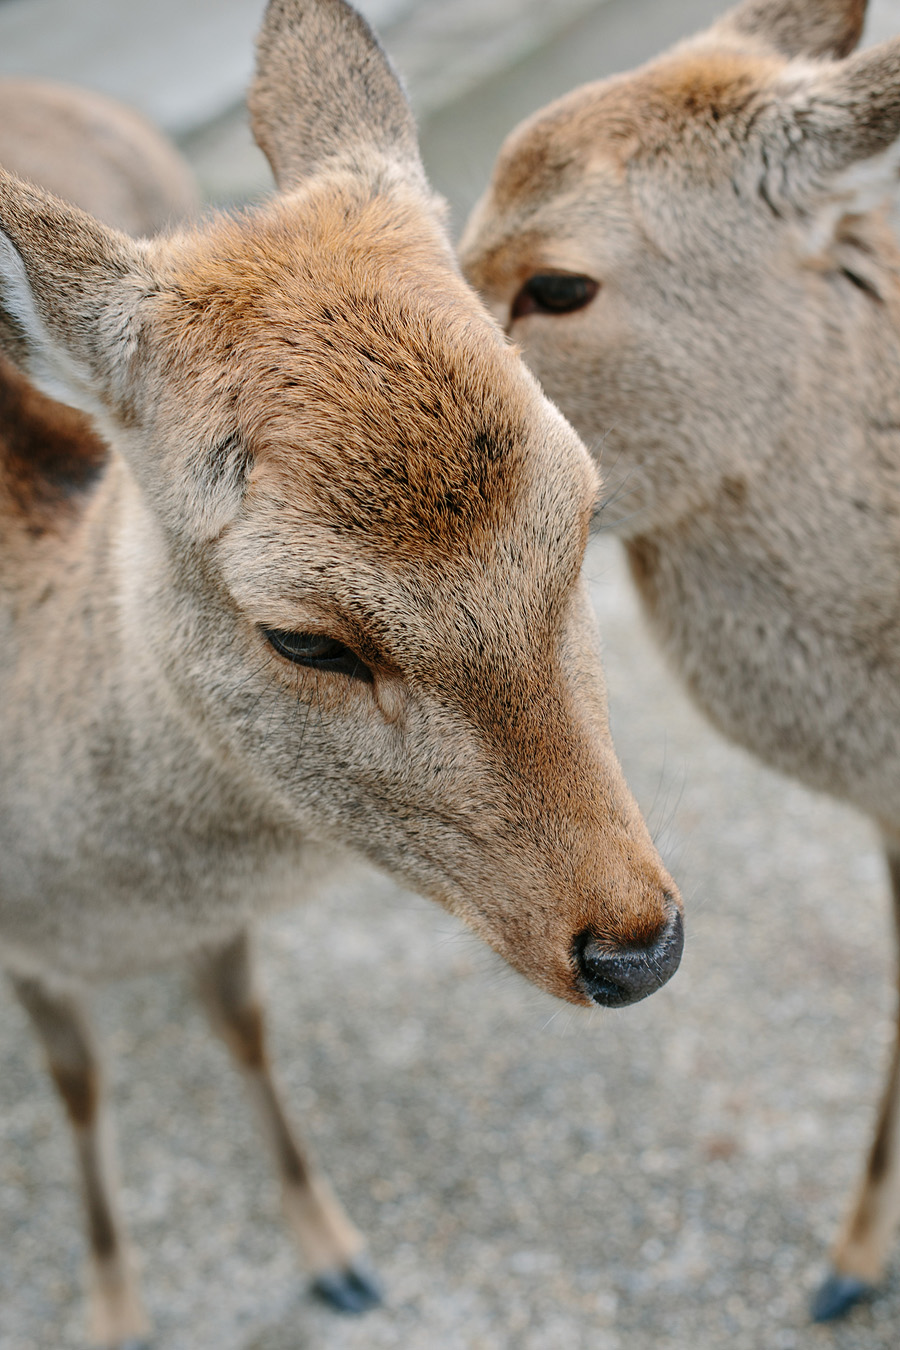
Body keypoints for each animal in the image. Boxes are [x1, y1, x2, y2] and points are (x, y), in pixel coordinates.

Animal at [0, 1, 684, 1345]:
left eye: (582, 512)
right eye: (304, 637)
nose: (636, 948)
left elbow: (244, 1024)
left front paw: (336, 1251)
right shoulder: (28, 952)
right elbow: (80, 1088)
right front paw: (113, 1305)